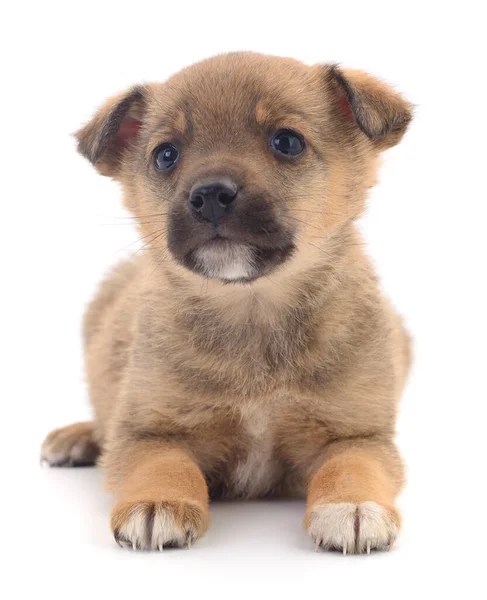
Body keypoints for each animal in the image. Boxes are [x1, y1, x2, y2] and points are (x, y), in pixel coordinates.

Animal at [42, 51, 412, 552]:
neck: (252, 308)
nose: (211, 195)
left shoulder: (360, 434)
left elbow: (351, 467)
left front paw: (352, 506)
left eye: (287, 142)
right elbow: (165, 464)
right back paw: (77, 438)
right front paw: (158, 501)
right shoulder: (148, 432)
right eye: (166, 155)